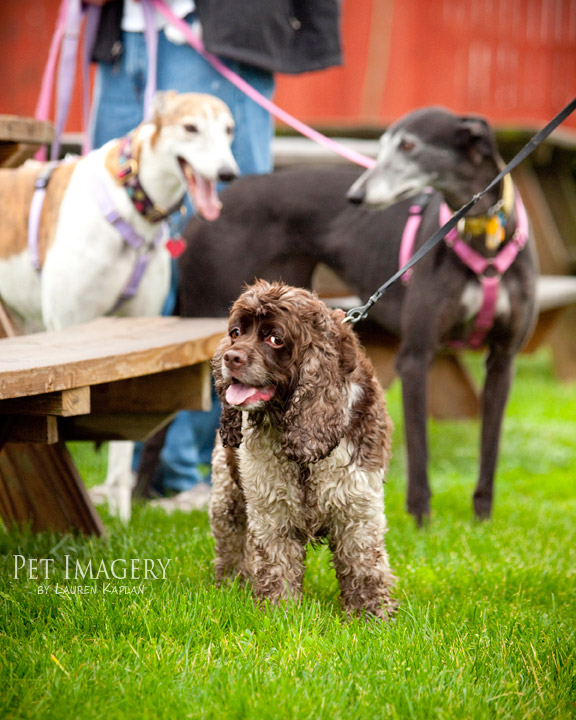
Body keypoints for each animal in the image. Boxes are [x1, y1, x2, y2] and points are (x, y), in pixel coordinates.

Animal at [172, 108, 540, 524]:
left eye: (408, 145)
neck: (482, 233)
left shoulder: (503, 360)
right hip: (207, 318)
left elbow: (489, 447)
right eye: (383, 144)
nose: (356, 196)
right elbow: (420, 452)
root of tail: (206, 211)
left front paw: (482, 521)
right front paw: (421, 521)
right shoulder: (416, 357)